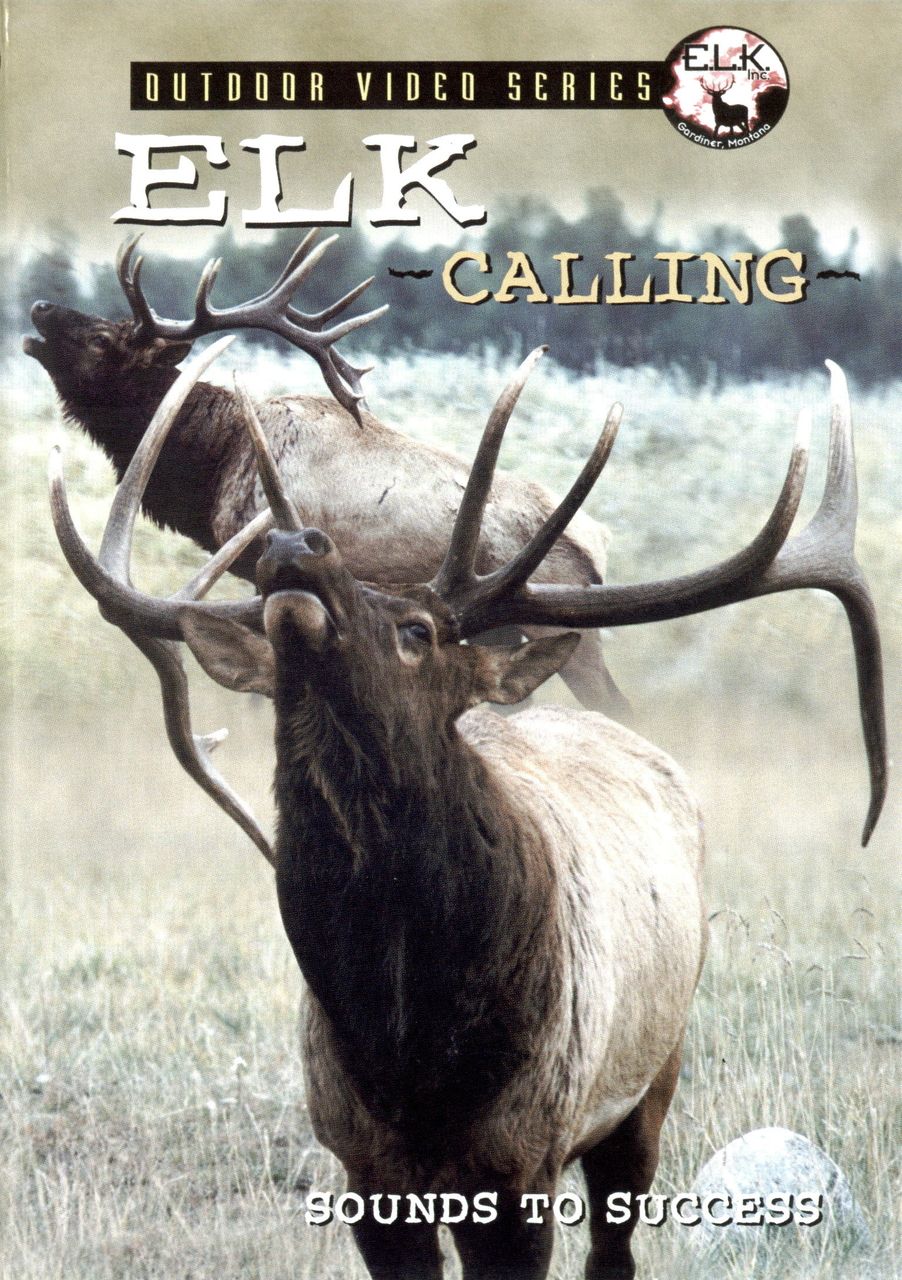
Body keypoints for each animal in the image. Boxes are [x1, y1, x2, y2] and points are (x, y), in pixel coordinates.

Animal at [23, 232, 624, 735]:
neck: (215, 459)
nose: (40, 308)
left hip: (560, 621)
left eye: (104, 338)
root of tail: (596, 548)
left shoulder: (260, 561)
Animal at [48, 342, 887, 1279]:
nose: (296, 544)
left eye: (419, 629)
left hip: (652, 1078)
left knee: (617, 1245)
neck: (408, 1038)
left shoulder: (523, 1155)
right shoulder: (363, 1165)